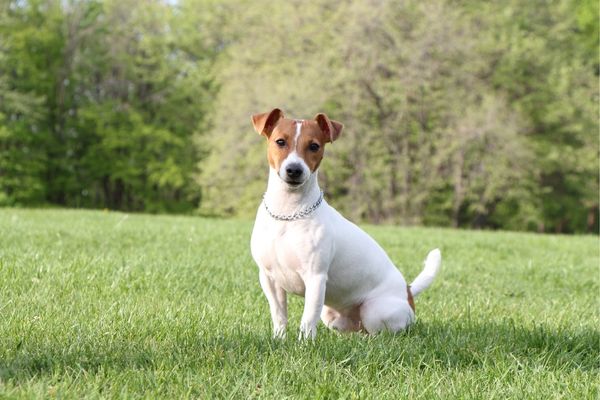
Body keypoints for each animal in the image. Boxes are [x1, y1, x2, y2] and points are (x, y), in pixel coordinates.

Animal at [248, 108, 440, 340]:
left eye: (314, 146)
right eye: (280, 142)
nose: (294, 170)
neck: (289, 213)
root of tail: (408, 291)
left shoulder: (315, 278)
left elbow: (307, 318)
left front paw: (304, 343)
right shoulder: (269, 279)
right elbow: (279, 315)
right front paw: (279, 340)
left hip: (374, 311)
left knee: (380, 333)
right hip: (331, 316)